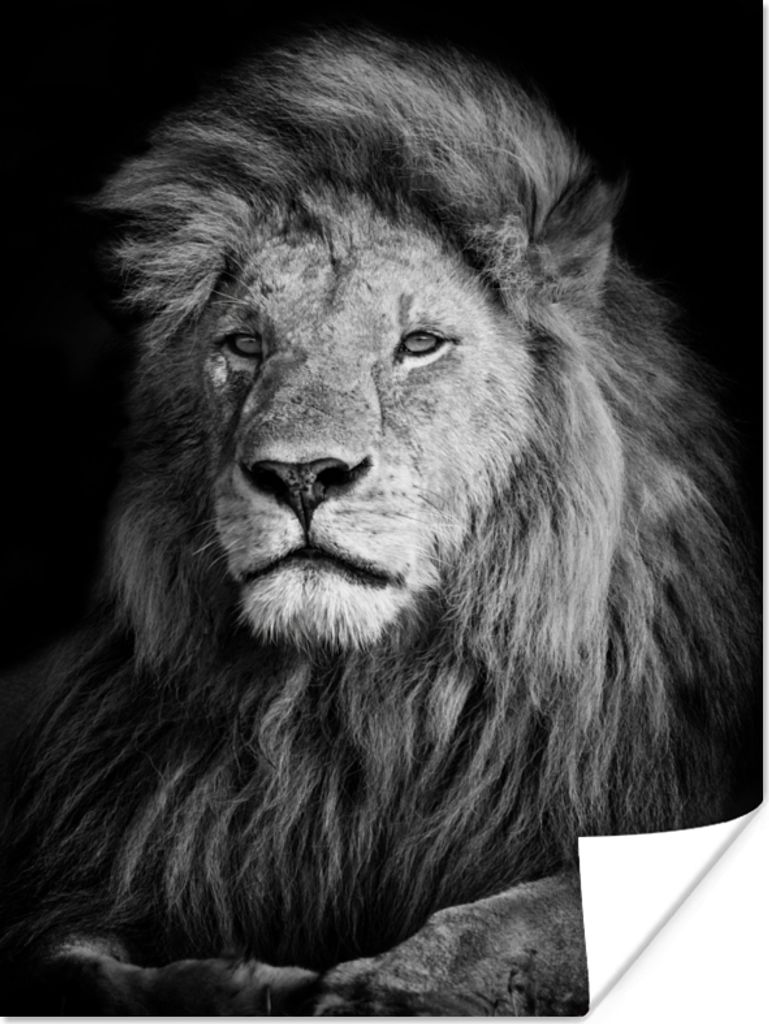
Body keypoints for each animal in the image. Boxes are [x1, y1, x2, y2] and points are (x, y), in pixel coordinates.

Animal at [0, 29, 759, 1016]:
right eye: (244, 344)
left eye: (419, 345)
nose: (299, 475)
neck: (364, 711)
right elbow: (73, 963)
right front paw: (236, 983)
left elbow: (541, 916)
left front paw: (378, 986)